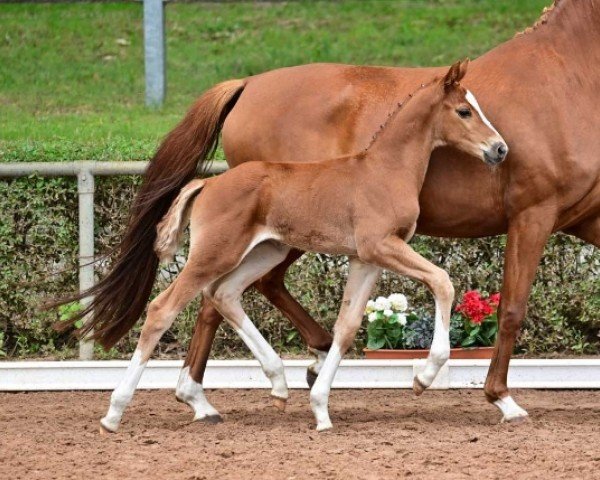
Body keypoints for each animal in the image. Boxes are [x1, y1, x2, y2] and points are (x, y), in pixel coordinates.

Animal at [99, 59, 506, 432]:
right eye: (464, 110)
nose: (500, 149)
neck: (385, 170)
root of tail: (207, 183)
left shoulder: (366, 259)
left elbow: (347, 325)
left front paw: (321, 409)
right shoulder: (380, 246)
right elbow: (442, 281)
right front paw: (423, 377)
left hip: (265, 251)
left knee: (224, 294)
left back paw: (278, 384)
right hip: (214, 254)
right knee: (163, 308)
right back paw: (114, 413)